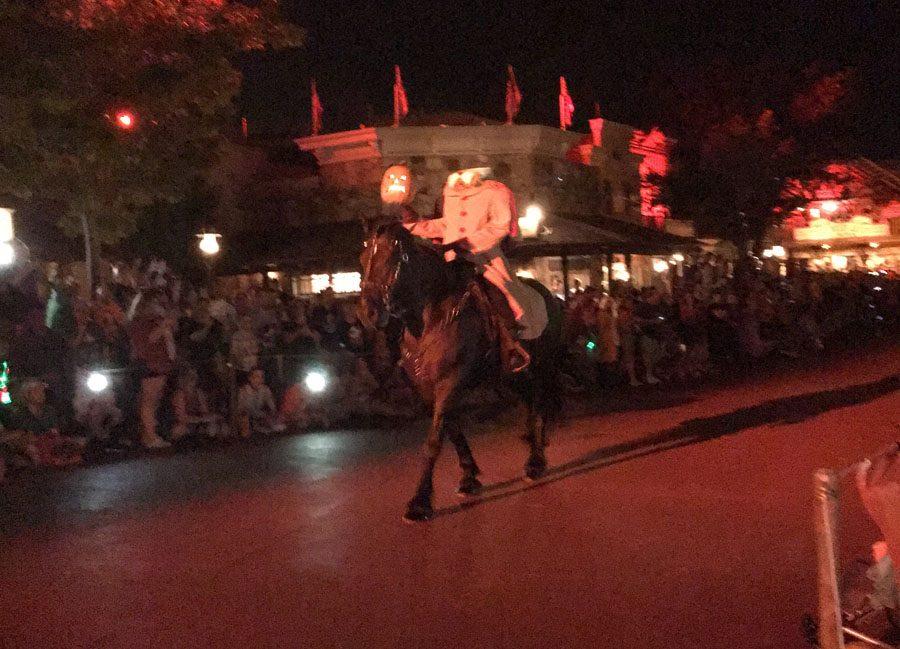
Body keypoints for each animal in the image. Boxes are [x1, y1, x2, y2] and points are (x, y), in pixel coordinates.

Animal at [360, 223, 564, 520]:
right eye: (363, 260)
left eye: (392, 259)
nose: (369, 313)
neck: (431, 319)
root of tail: (552, 296)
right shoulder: (428, 389)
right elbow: (452, 430)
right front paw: (469, 477)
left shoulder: (451, 381)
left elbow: (434, 440)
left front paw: (420, 501)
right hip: (510, 375)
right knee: (529, 402)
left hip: (543, 366)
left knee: (540, 404)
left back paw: (536, 461)